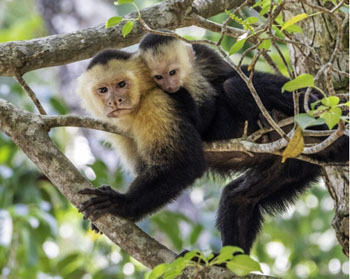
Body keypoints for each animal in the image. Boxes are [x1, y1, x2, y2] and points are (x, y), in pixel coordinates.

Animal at [138, 32, 348, 254]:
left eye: (172, 72)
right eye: (158, 77)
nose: (169, 86)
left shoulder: (203, 60)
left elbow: (219, 91)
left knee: (237, 84)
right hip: (293, 163)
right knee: (238, 198)